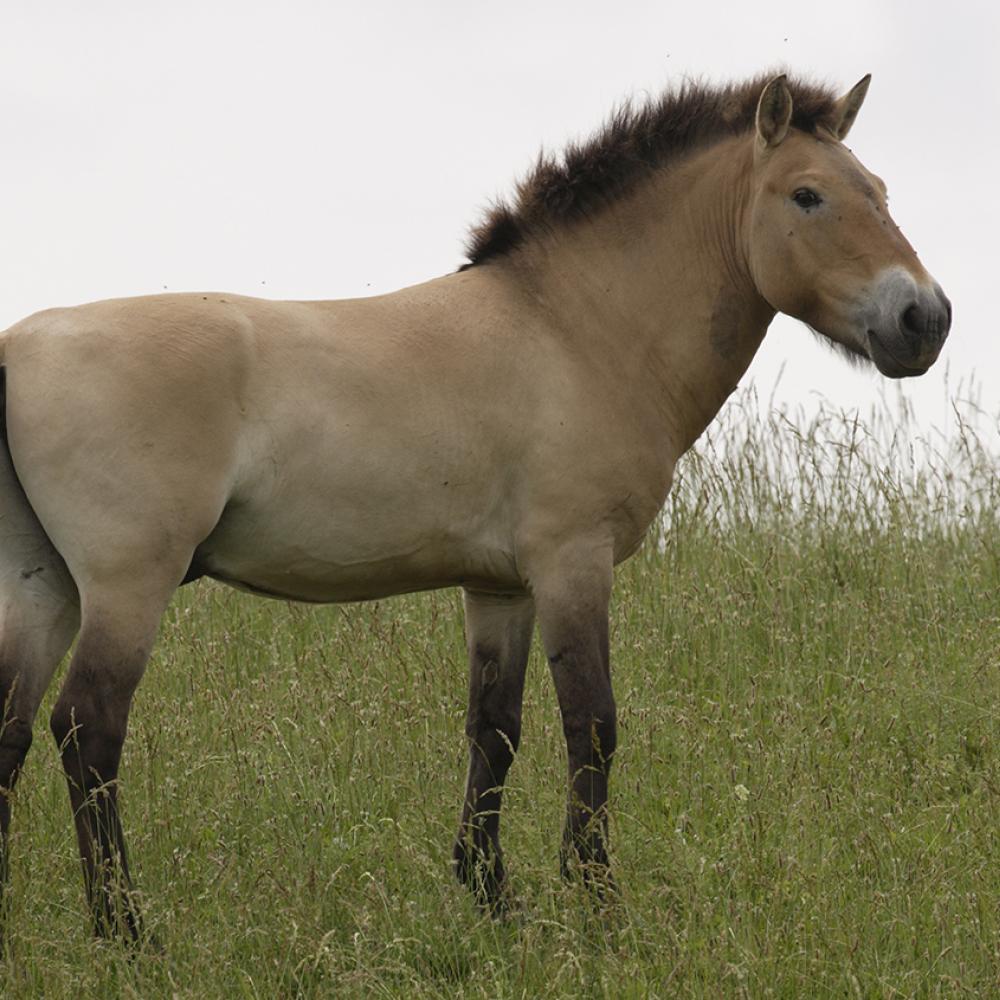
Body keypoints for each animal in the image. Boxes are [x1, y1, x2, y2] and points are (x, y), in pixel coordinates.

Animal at [0, 70, 952, 936]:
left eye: (881, 191)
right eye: (808, 195)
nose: (925, 319)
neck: (572, 331)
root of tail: (17, 348)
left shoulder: (501, 588)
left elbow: (494, 730)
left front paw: (493, 897)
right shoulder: (573, 563)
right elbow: (592, 725)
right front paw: (596, 905)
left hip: (45, 587)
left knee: (12, 728)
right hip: (127, 584)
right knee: (88, 728)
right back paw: (125, 929)